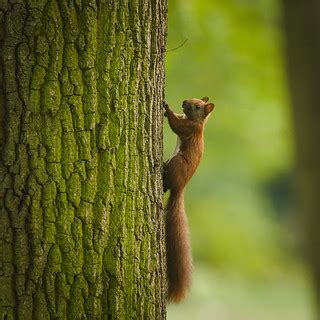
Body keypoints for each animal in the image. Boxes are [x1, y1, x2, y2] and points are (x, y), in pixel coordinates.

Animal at [162, 97, 215, 302]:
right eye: (193, 99)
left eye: (198, 106)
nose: (184, 102)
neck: (198, 123)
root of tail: (180, 189)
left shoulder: (189, 128)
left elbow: (176, 125)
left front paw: (167, 108)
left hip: (177, 163)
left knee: (168, 183)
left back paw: (162, 169)